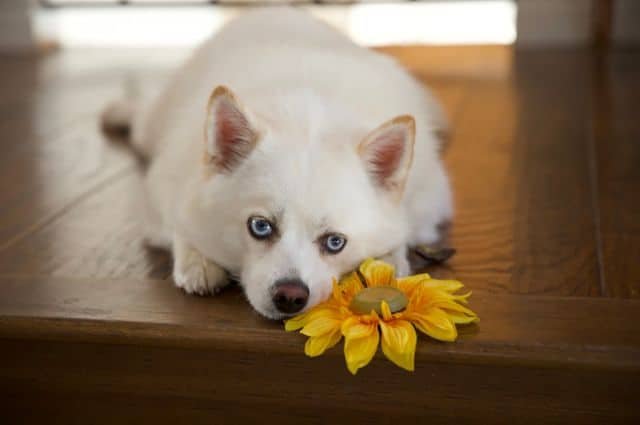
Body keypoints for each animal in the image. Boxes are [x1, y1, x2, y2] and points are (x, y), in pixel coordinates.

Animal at [102, 7, 452, 318]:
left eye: (335, 242)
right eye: (260, 226)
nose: (290, 296)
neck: (308, 119)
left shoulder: (427, 204)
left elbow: (401, 234)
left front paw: (389, 261)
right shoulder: (165, 184)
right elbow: (178, 220)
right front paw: (198, 259)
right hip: (154, 124)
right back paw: (120, 111)